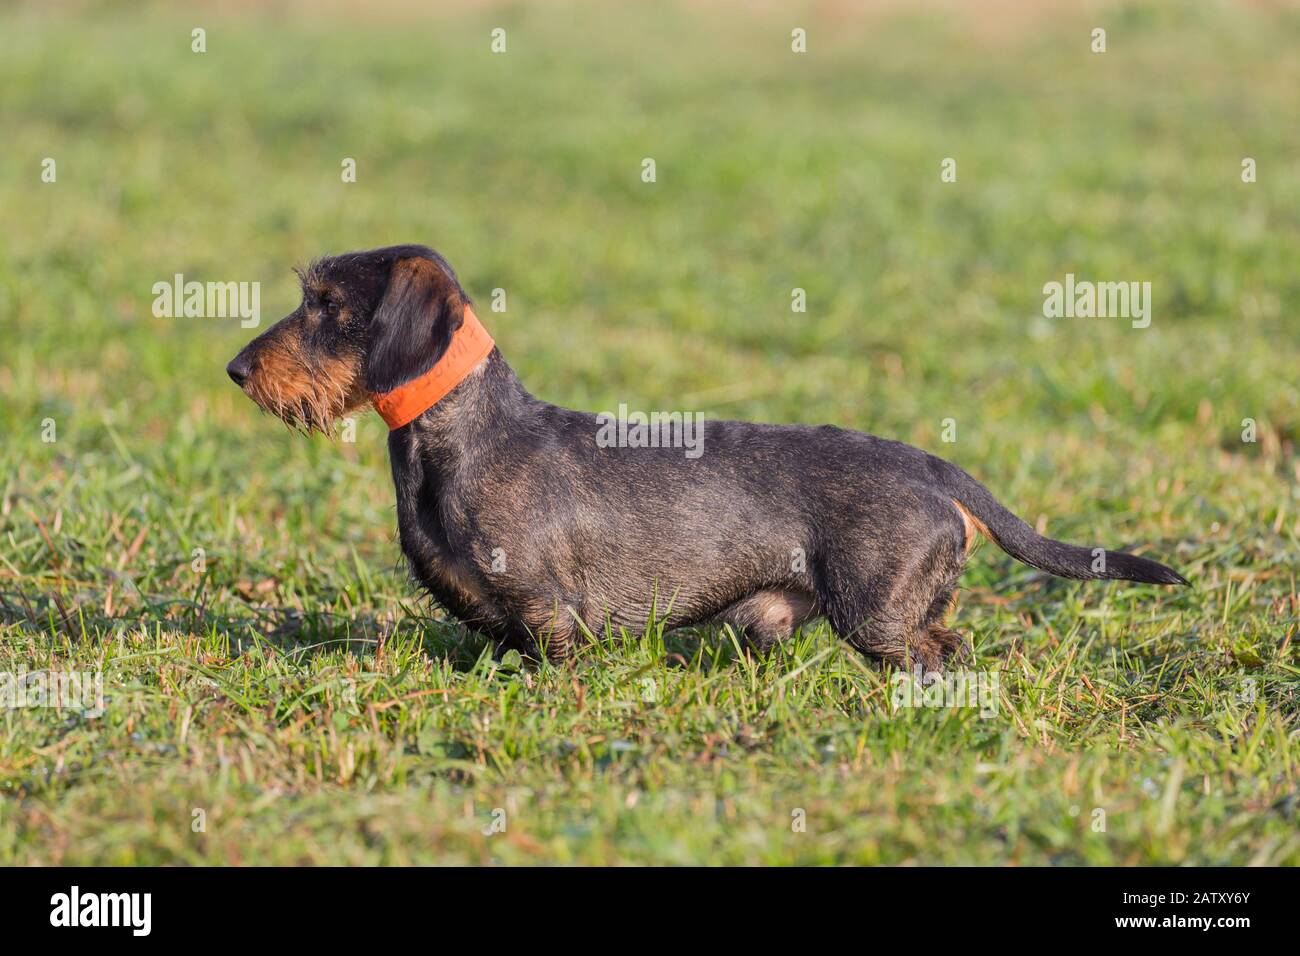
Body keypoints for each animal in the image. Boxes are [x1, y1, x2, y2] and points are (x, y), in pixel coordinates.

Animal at [226, 247, 1190, 671]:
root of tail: (931, 467)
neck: (467, 438)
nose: (236, 370)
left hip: (875, 612)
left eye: (326, 304)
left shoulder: (551, 616)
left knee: (939, 647)